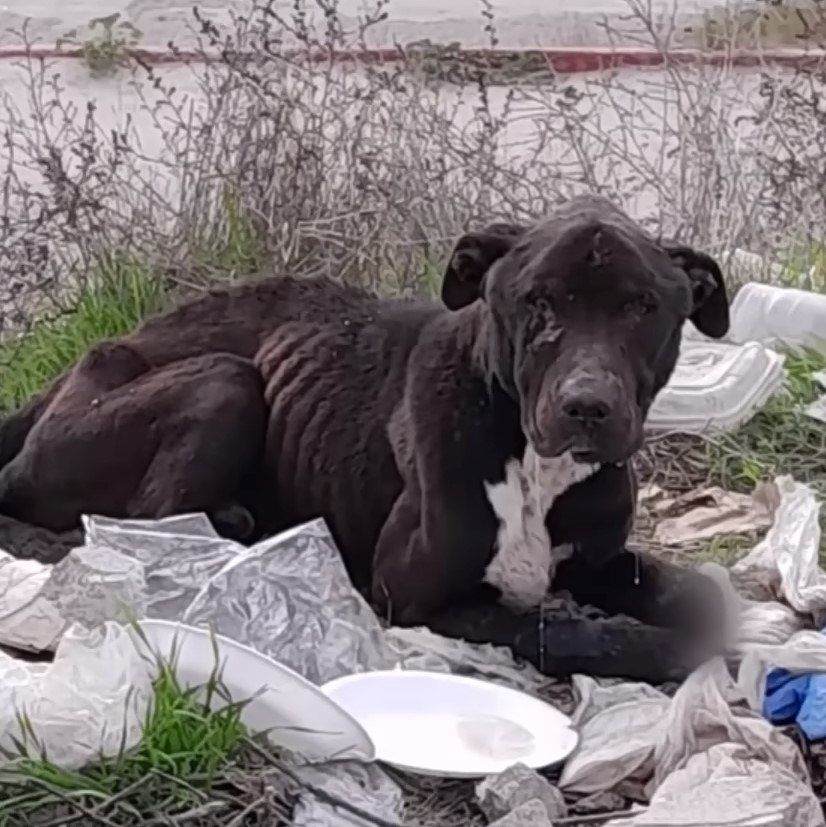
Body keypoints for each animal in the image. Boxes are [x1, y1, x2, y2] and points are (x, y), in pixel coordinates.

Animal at [0, 196, 728, 684]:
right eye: (537, 302)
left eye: (642, 307)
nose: (586, 406)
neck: (531, 464)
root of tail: (56, 384)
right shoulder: (415, 595)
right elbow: (560, 629)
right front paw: (656, 646)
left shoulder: (599, 558)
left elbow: (690, 592)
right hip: (224, 383)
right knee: (150, 527)